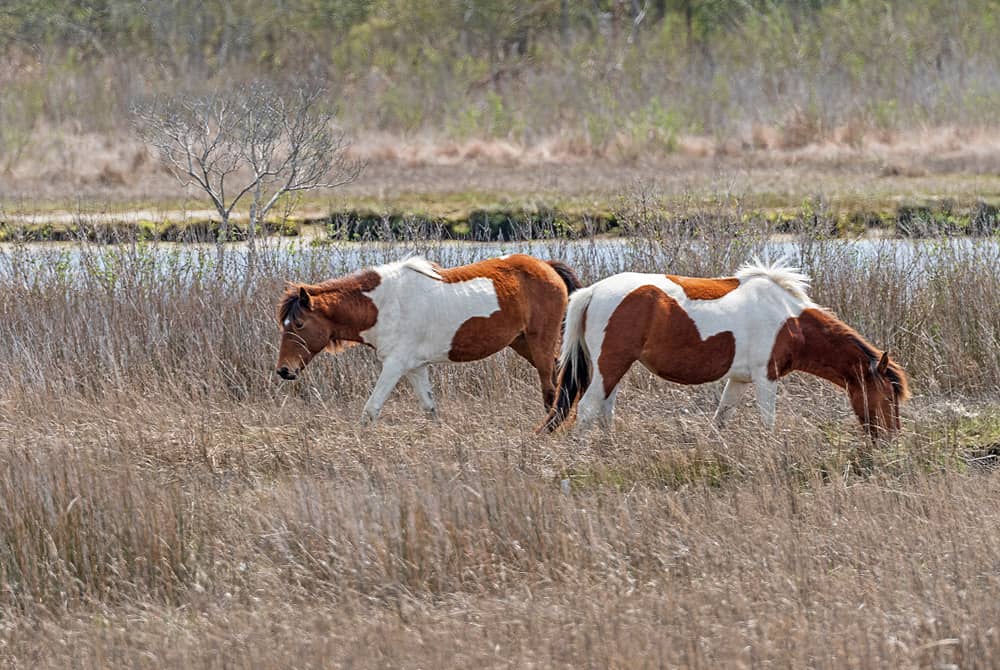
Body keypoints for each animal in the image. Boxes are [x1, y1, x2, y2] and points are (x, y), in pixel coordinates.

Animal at [276, 254, 582, 424]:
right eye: (284, 325)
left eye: (299, 324)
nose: (284, 370)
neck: (383, 304)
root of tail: (546, 266)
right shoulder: (415, 368)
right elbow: (430, 409)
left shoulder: (394, 366)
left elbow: (370, 410)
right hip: (522, 343)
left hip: (541, 343)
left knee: (551, 390)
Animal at [544, 261, 910, 439]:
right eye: (888, 396)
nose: (891, 439)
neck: (789, 319)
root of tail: (591, 291)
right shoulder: (765, 378)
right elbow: (767, 421)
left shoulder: (739, 380)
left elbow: (721, 419)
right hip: (611, 365)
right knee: (588, 409)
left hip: (615, 368)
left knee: (604, 410)